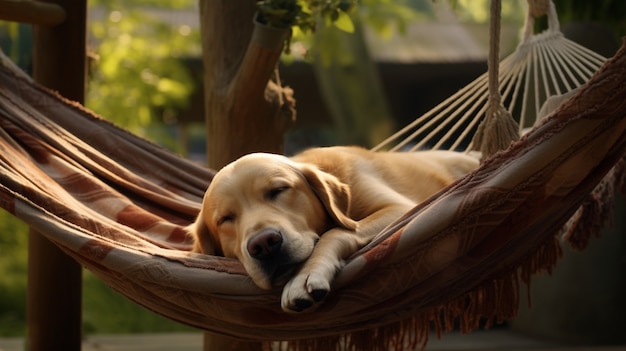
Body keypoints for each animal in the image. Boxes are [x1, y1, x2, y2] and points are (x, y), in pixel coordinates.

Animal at [188, 146, 476, 314]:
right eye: (225, 219)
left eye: (278, 190)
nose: (264, 244)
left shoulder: (398, 209)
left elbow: (335, 231)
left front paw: (305, 275)